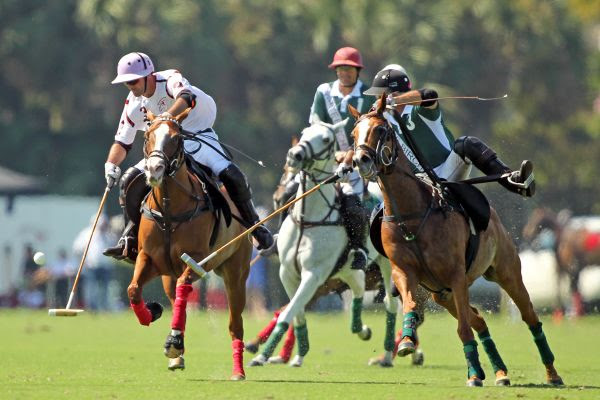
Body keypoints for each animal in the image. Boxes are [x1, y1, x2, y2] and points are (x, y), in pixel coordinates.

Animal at [126, 108, 251, 378]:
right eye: (148, 136)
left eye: (175, 138)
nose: (154, 170)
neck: (169, 210)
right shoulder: (148, 258)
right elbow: (133, 289)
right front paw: (152, 312)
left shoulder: (196, 260)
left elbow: (185, 287)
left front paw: (173, 342)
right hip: (167, 276)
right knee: (176, 302)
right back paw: (177, 356)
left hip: (236, 273)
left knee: (235, 324)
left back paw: (238, 370)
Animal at [346, 97, 564, 388]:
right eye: (353, 134)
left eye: (381, 130)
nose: (362, 161)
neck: (412, 214)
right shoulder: (404, 272)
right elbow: (412, 305)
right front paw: (407, 341)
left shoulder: (456, 274)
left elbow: (463, 329)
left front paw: (472, 376)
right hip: (442, 294)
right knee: (479, 320)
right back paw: (500, 373)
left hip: (506, 273)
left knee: (530, 316)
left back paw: (552, 373)